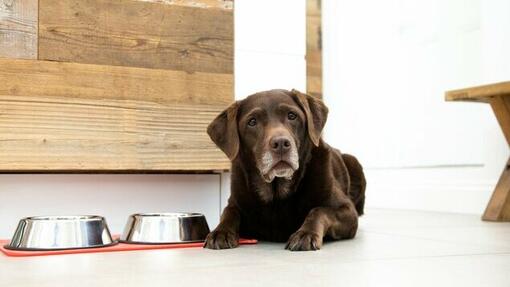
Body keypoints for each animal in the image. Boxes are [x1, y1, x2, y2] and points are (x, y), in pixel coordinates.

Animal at [203, 89, 366, 252]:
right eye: (252, 122)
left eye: (292, 116)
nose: (281, 143)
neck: (276, 194)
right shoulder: (235, 202)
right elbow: (228, 213)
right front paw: (220, 232)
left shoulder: (347, 210)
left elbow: (319, 211)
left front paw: (305, 234)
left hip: (354, 163)